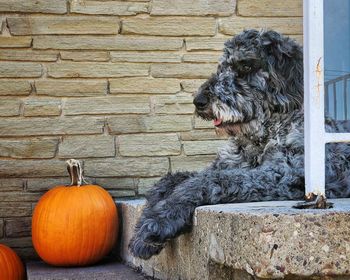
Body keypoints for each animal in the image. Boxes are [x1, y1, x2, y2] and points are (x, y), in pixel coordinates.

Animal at [129, 29, 350, 260]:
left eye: (245, 66)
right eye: (222, 67)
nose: (199, 101)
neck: (259, 140)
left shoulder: (282, 176)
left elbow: (206, 181)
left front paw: (156, 225)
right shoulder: (227, 165)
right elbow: (173, 179)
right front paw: (149, 214)